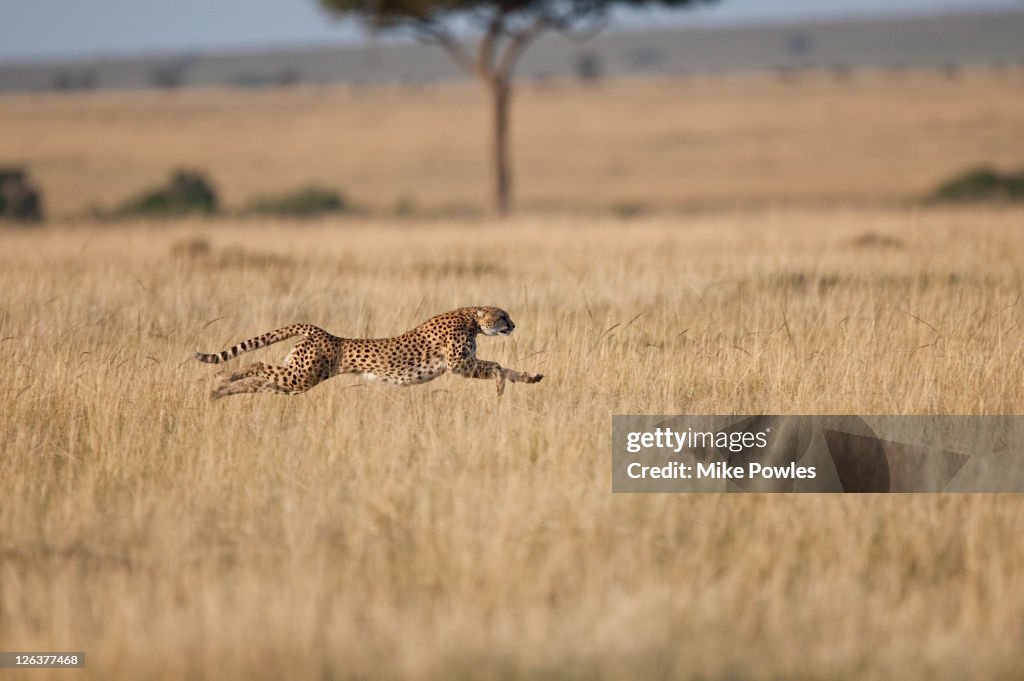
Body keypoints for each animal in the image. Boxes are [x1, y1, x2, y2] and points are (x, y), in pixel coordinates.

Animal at [193, 306, 543, 399]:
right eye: (502, 315)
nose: (513, 325)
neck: (470, 318)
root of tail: (319, 330)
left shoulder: (464, 363)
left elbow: (507, 367)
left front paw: (529, 377)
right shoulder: (459, 364)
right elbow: (496, 364)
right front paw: (500, 385)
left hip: (296, 379)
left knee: (260, 380)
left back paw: (219, 390)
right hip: (301, 375)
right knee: (256, 362)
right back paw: (223, 376)